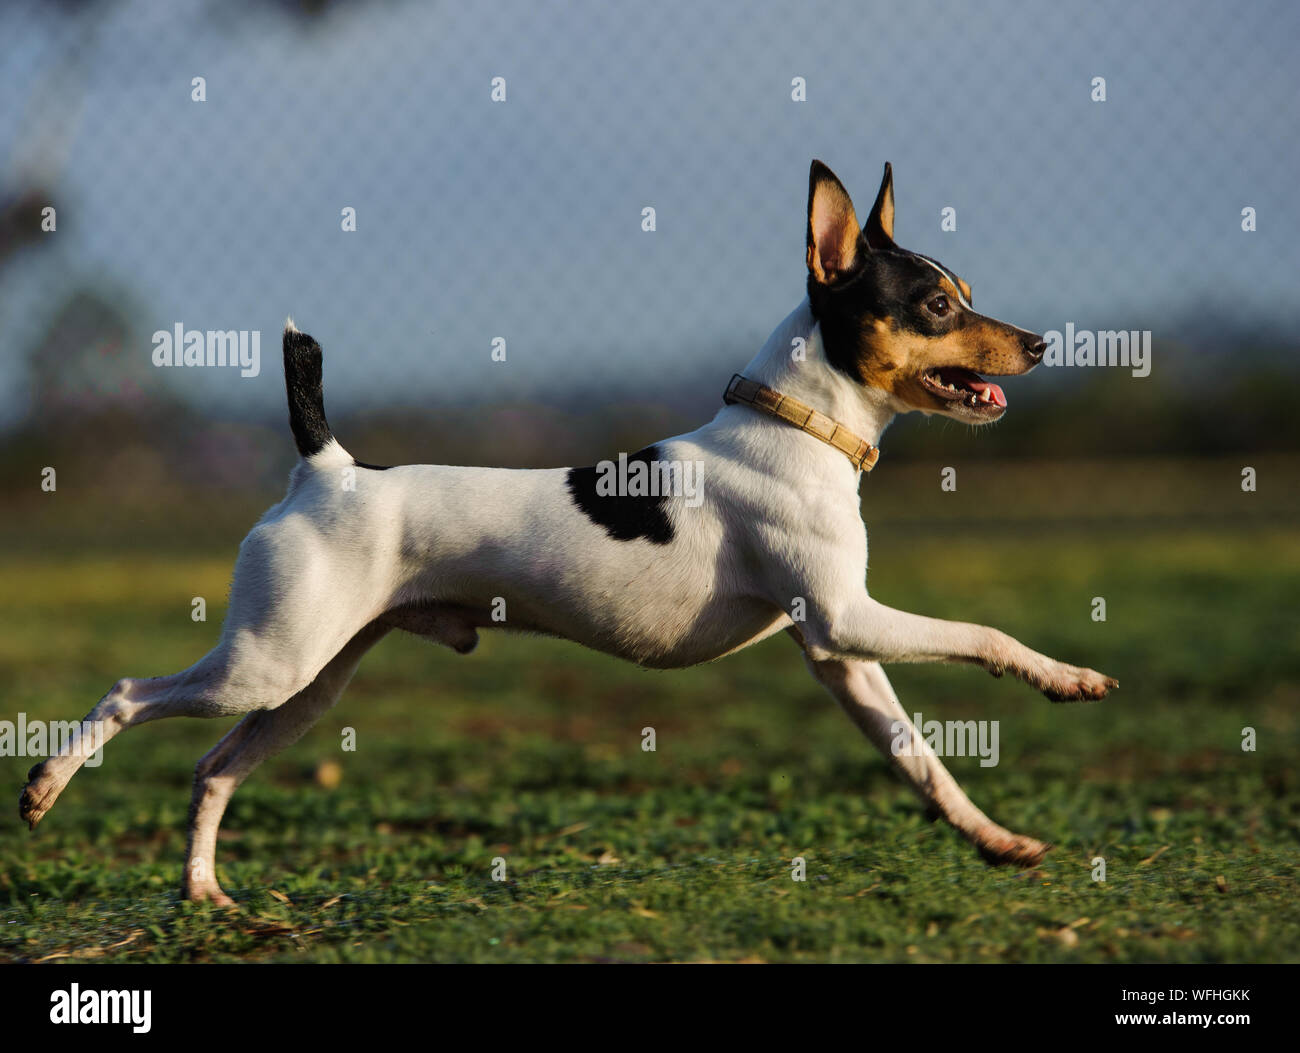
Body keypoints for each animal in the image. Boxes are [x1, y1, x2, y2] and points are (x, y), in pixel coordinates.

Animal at [20, 161, 1112, 904]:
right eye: (935, 304)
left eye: (963, 294)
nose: (1039, 343)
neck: (798, 426)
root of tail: (324, 469)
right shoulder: (851, 619)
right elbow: (984, 636)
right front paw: (1065, 678)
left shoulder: (839, 652)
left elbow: (920, 760)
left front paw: (993, 839)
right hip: (264, 663)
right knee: (128, 695)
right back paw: (44, 785)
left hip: (307, 682)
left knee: (213, 769)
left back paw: (205, 892)